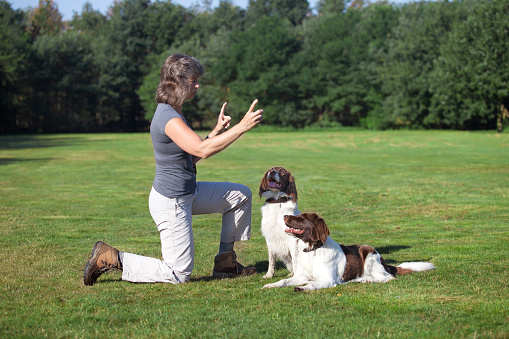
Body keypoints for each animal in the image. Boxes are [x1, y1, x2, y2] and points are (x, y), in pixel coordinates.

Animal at [262, 215, 436, 292]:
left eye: (302, 217)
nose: (284, 215)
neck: (313, 250)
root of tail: (384, 262)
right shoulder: (301, 276)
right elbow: (284, 281)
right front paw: (271, 284)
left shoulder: (327, 279)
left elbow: (310, 284)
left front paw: (302, 288)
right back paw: (363, 280)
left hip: (368, 252)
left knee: (388, 278)